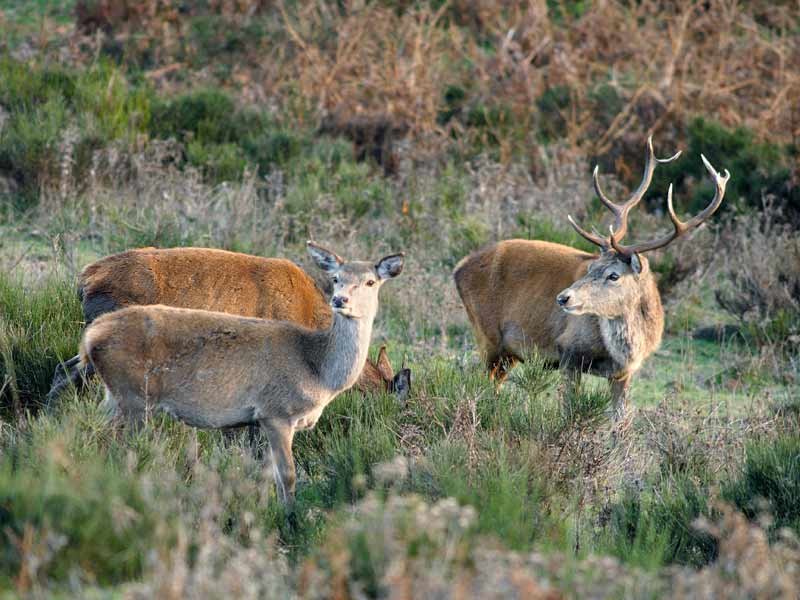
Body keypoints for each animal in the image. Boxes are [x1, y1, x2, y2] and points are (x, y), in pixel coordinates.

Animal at [79, 242, 404, 503]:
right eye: (336, 278)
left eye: (371, 281)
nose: (340, 300)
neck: (317, 368)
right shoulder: (274, 412)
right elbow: (285, 476)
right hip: (134, 398)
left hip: (112, 394)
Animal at [454, 137, 729, 419]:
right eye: (591, 268)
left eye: (613, 275)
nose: (563, 298)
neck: (625, 349)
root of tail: (459, 268)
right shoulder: (568, 352)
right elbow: (568, 409)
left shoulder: (623, 374)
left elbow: (621, 421)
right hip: (488, 337)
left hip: (507, 353)